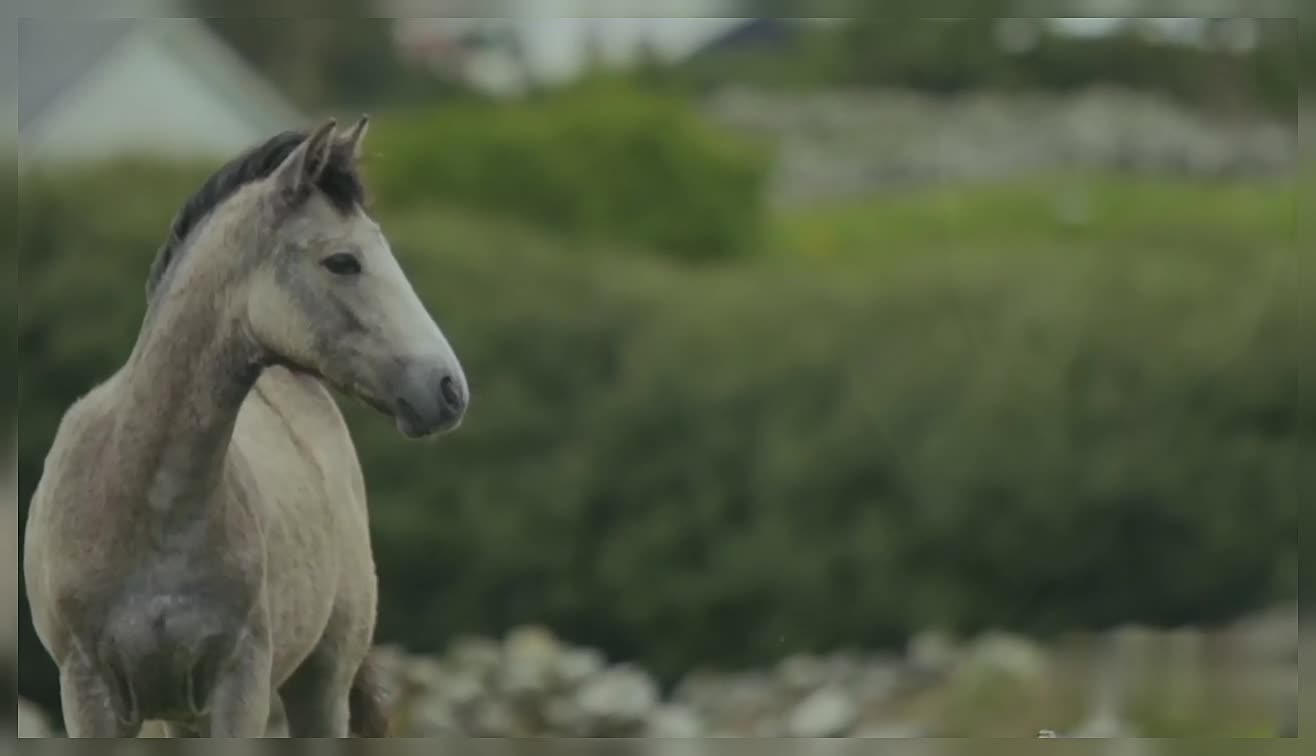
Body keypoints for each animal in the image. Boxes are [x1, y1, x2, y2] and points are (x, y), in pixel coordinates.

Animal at [20, 118, 468, 742]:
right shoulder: (88, 693)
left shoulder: (239, 688)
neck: (143, 500)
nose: (449, 388)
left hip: (319, 686)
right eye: (342, 261)